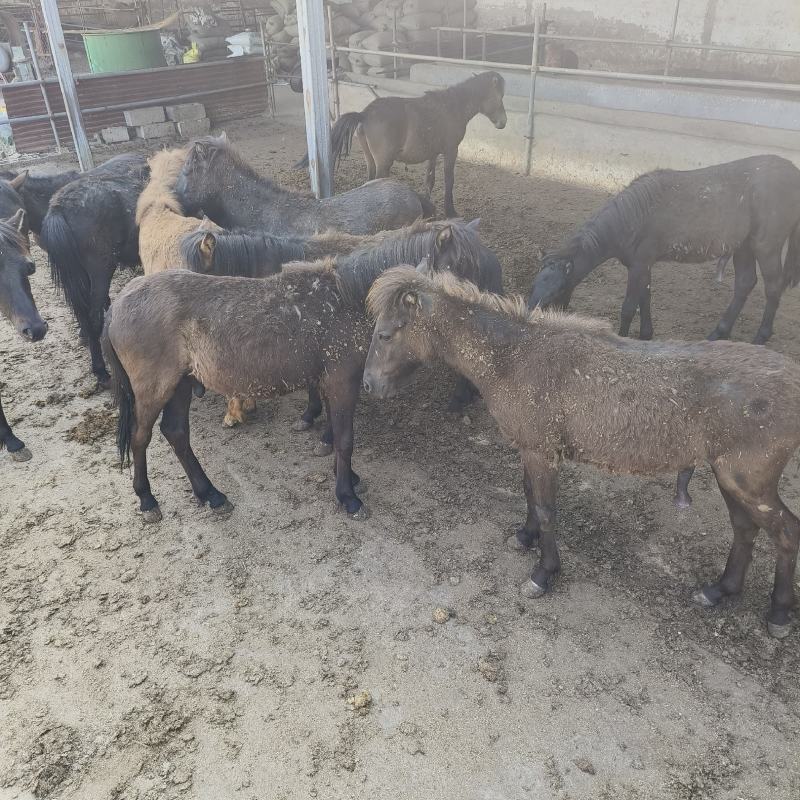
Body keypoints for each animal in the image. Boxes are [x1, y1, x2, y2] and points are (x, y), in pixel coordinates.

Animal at [101, 219, 488, 523]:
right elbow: (344, 439)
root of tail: (117, 305)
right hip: (154, 389)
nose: (479, 320)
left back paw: (210, 495)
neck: (347, 298)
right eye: (460, 267)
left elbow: (334, 432)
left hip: (181, 384)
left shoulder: (331, 381)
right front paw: (348, 497)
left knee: (176, 433)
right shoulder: (343, 381)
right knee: (141, 437)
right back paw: (148, 500)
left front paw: (347, 477)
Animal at [297, 71, 508, 218]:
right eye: (499, 97)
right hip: (384, 163)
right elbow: (449, 181)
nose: (503, 122)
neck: (451, 107)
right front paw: (450, 212)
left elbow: (430, 180)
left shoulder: (433, 154)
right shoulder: (450, 151)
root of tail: (365, 114)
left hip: (370, 160)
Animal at [363, 265, 800, 639]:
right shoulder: (530, 449)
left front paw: (543, 574)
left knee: (785, 532)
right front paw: (525, 537)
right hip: (731, 477)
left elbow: (546, 509)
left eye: (384, 334)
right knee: (745, 530)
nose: (368, 385)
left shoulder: (542, 452)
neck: (514, 359)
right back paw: (718, 591)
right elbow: (528, 494)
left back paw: (779, 614)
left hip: (750, 481)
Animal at [528, 155, 800, 345]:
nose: (530, 317)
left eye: (558, 290)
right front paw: (646, 335)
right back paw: (717, 334)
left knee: (773, 287)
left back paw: (760, 338)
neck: (633, 216)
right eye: (533, 285)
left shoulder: (639, 266)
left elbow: (629, 307)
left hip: (766, 247)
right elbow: (645, 299)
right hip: (743, 247)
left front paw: (623, 337)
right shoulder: (642, 265)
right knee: (745, 283)